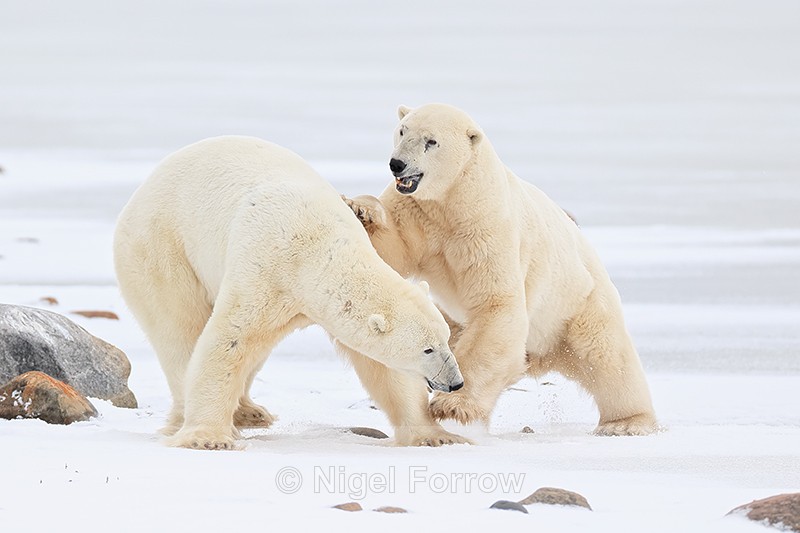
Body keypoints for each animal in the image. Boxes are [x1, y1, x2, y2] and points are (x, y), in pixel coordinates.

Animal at [113, 135, 469, 450]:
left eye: (445, 338)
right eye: (427, 349)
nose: (455, 382)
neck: (318, 245)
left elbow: (382, 367)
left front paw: (437, 436)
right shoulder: (266, 268)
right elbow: (230, 339)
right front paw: (207, 438)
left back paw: (250, 412)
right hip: (160, 247)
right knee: (178, 328)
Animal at [345, 104, 658, 436]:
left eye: (431, 141)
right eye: (403, 131)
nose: (398, 164)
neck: (455, 198)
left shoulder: (486, 226)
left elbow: (496, 304)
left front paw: (453, 405)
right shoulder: (417, 210)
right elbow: (393, 245)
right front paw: (360, 210)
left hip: (580, 305)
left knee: (608, 357)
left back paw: (625, 423)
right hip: (456, 321)